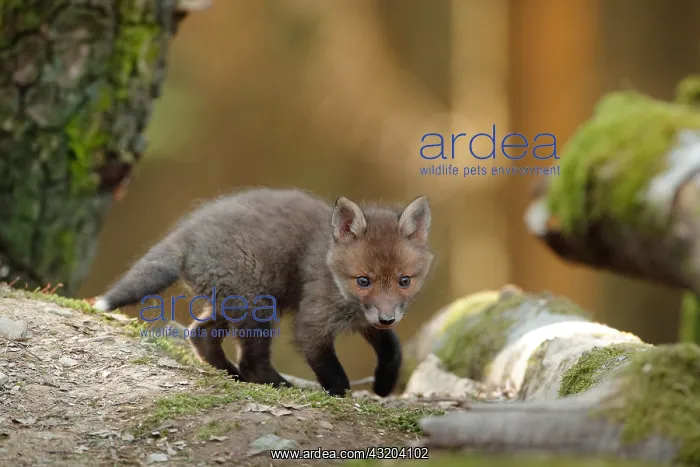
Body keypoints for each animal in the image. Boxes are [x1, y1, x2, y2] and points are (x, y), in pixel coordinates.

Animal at [94, 188, 434, 397]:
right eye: (363, 281)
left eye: (404, 281)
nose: (387, 318)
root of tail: (185, 232)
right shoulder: (312, 324)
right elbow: (334, 373)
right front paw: (341, 396)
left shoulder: (367, 320)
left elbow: (393, 349)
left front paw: (384, 384)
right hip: (257, 308)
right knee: (250, 360)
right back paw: (279, 385)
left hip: (229, 302)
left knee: (200, 334)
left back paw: (231, 375)